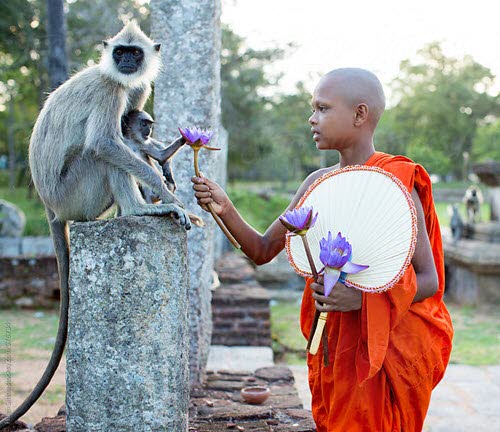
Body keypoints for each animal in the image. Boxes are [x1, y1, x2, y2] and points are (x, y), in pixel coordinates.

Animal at [0, 21, 189, 428]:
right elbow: (107, 142)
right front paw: (166, 193)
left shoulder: (134, 89)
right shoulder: (110, 90)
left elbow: (133, 131)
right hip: (75, 193)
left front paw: (164, 169)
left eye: (135, 53)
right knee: (102, 153)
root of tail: (49, 205)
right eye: (121, 52)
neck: (115, 75)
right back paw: (139, 209)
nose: (128, 62)